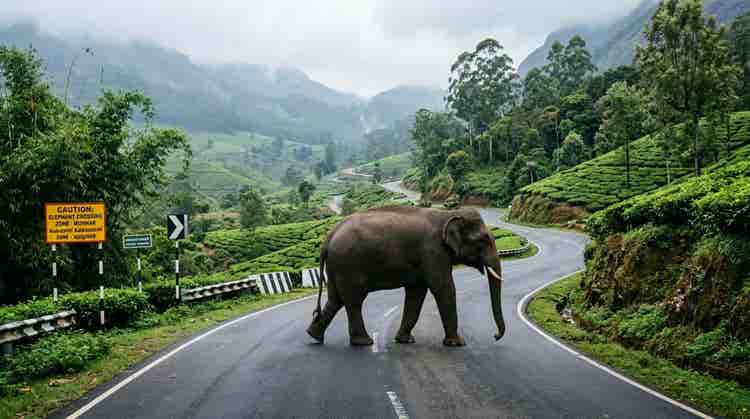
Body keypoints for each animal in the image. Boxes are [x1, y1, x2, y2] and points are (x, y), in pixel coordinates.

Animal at [306, 206, 505, 347]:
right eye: (484, 240)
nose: (495, 336)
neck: (447, 214)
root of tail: (327, 239)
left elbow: (416, 292)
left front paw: (405, 340)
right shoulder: (433, 251)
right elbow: (443, 287)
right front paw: (457, 343)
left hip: (336, 268)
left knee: (336, 299)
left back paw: (314, 336)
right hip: (348, 265)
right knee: (354, 301)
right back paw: (364, 342)